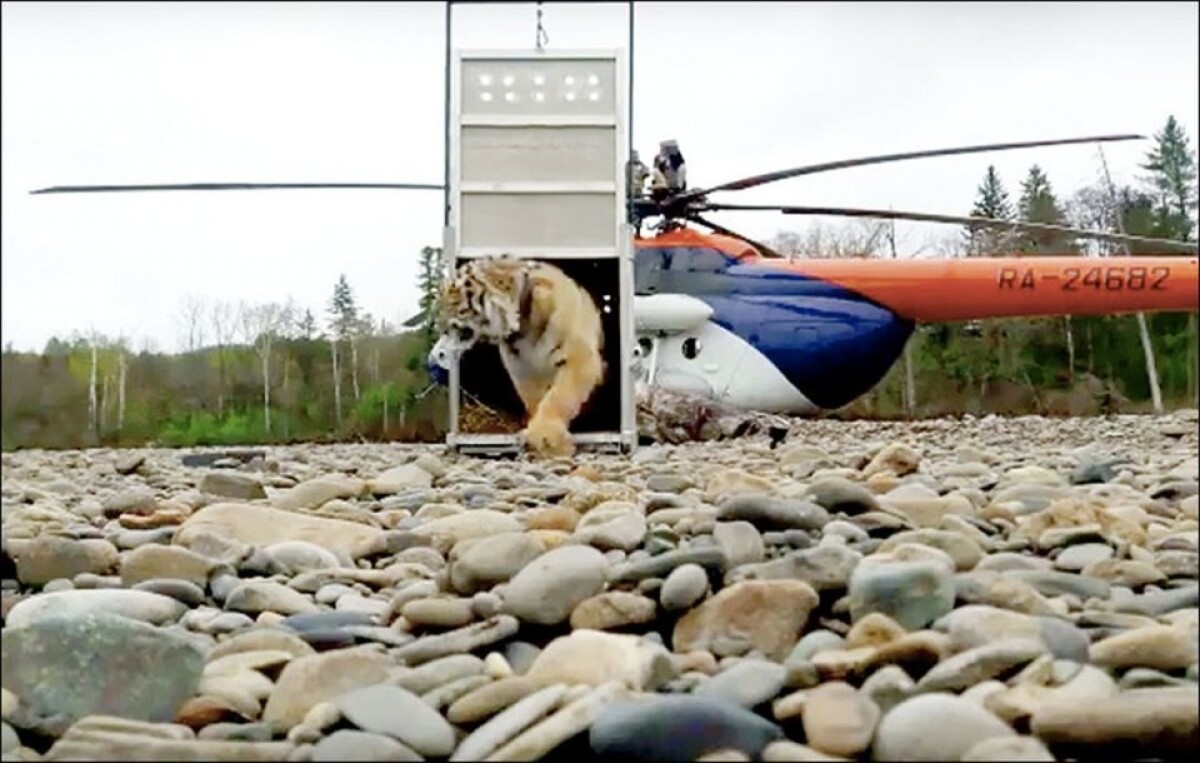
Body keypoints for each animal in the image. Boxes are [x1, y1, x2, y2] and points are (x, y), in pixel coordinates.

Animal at [429, 254, 606, 458]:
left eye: (453, 297)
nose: (438, 321)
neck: (523, 331)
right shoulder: (523, 370)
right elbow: (535, 401)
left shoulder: (578, 358)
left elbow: (560, 396)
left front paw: (547, 437)